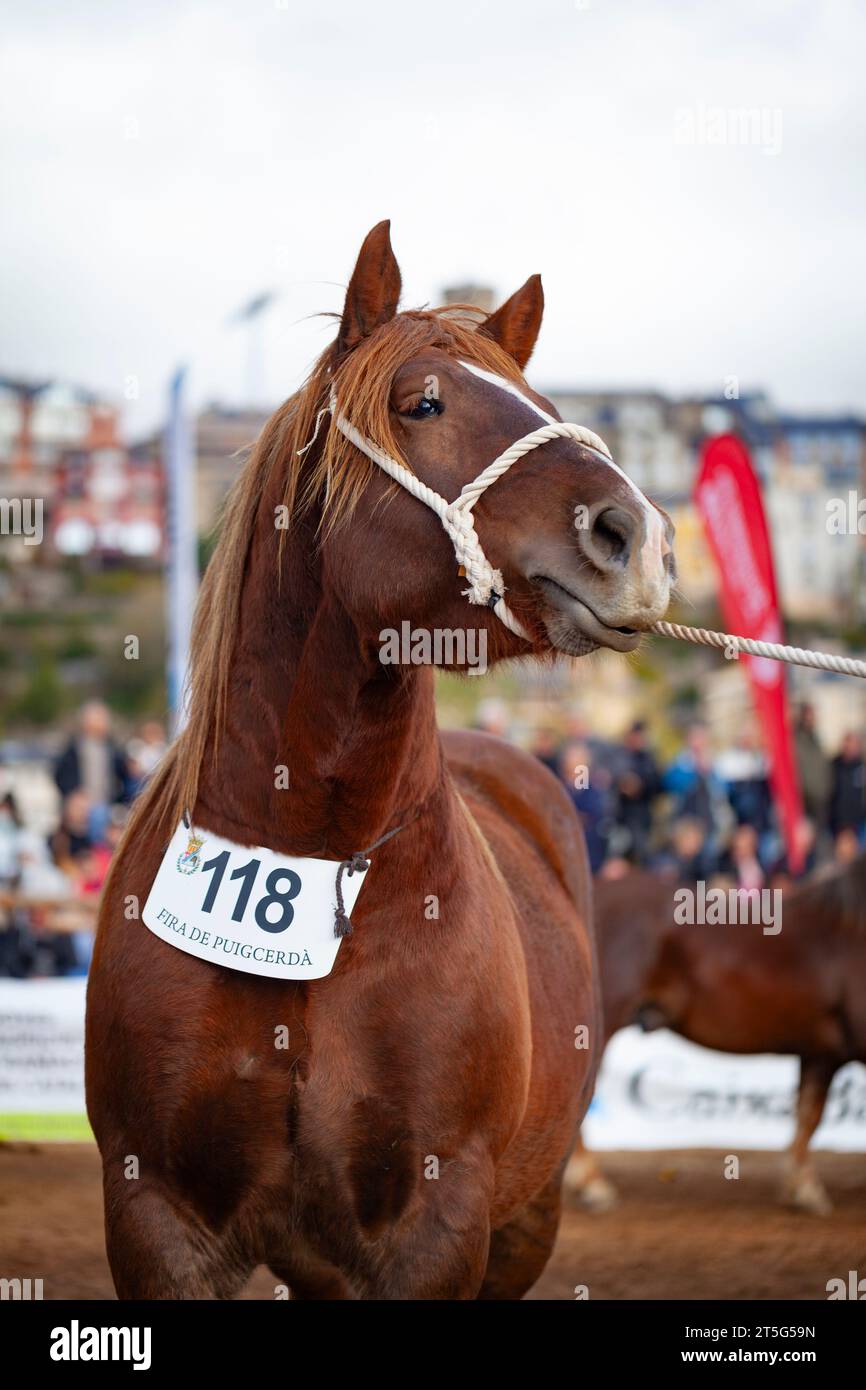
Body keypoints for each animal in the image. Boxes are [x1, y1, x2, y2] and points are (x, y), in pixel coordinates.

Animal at [85, 221, 674, 1300]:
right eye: (422, 403)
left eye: (550, 411)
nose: (638, 536)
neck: (315, 850)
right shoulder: (156, 1215)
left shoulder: (436, 1228)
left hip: (525, 1219)